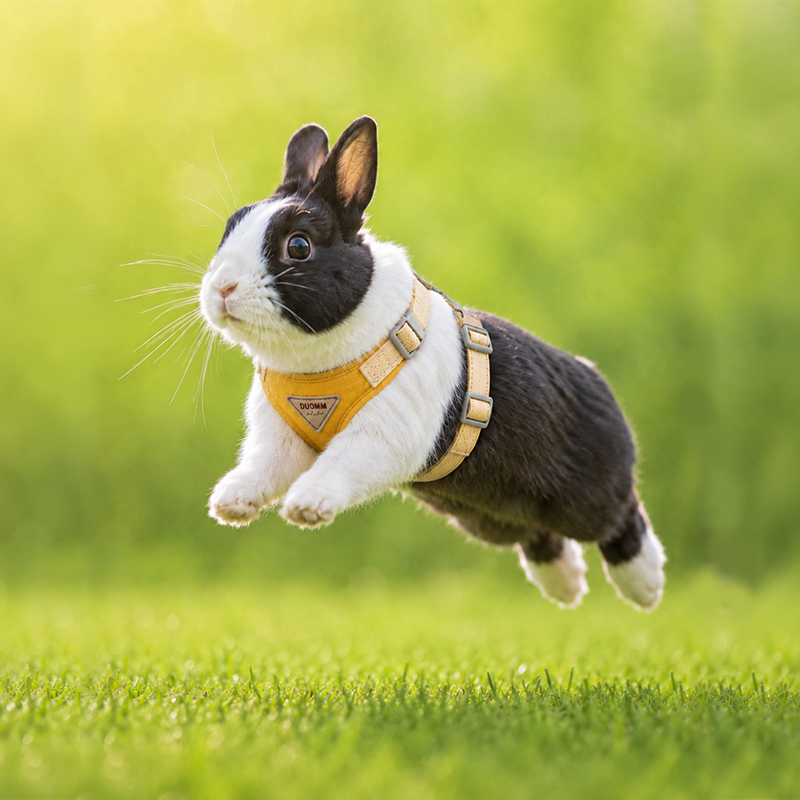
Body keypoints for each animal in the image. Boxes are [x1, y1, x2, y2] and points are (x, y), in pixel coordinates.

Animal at [200, 115, 666, 611]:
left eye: (299, 247)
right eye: (229, 229)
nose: (222, 288)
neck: (314, 361)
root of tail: (598, 381)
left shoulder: (382, 434)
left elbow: (342, 463)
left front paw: (307, 506)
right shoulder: (283, 439)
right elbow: (263, 466)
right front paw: (230, 502)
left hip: (583, 496)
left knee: (621, 517)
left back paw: (645, 585)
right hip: (488, 517)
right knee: (540, 537)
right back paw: (566, 587)